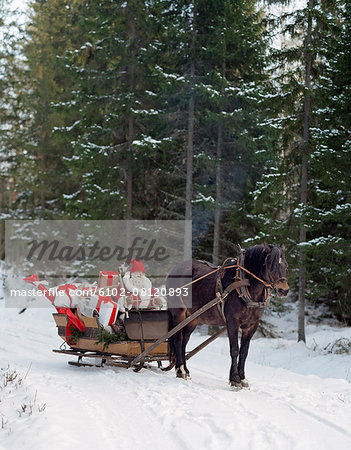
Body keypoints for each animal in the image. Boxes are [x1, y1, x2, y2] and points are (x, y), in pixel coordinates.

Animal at [166, 244, 290, 388]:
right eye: (270, 264)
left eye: (285, 265)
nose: (284, 290)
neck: (244, 286)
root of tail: (175, 269)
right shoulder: (232, 322)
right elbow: (235, 349)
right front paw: (235, 378)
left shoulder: (251, 325)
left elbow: (244, 352)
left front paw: (243, 378)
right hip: (178, 312)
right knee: (178, 339)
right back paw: (180, 370)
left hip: (192, 317)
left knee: (184, 342)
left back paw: (185, 370)